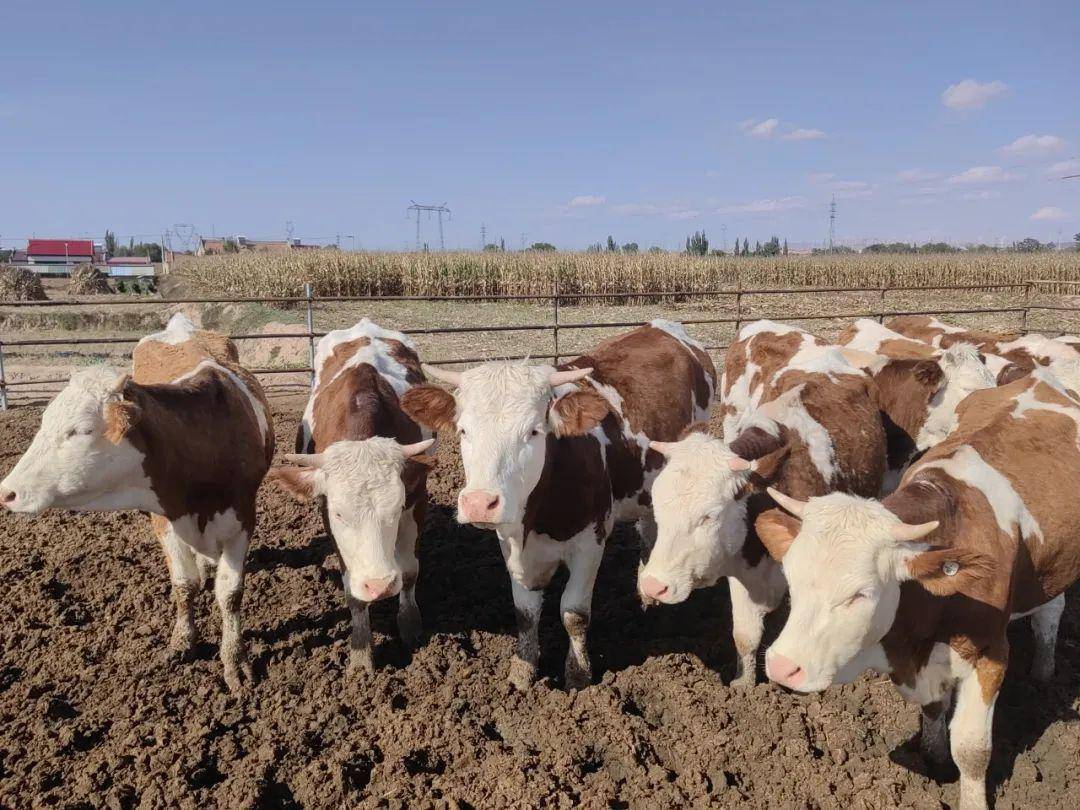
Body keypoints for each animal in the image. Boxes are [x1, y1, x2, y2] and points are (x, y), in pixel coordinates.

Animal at [0, 313, 274, 695]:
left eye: (81, 430)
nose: (7, 492)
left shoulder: (243, 520)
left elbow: (230, 593)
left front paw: (235, 661)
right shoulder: (166, 518)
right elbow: (184, 585)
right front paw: (182, 642)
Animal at [265, 319, 434, 673]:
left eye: (396, 509)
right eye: (340, 513)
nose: (379, 586)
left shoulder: (417, 499)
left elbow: (409, 569)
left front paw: (410, 625)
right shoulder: (326, 513)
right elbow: (352, 589)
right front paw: (360, 653)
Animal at [401, 319, 712, 686]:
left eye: (534, 431)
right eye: (463, 430)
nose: (479, 503)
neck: (538, 514)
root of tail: (661, 326)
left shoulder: (590, 543)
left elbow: (573, 613)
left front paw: (578, 675)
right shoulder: (511, 542)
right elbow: (525, 612)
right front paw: (522, 671)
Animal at [635, 343, 881, 686]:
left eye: (709, 516)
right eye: (658, 509)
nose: (653, 586)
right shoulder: (742, 575)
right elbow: (745, 636)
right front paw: (743, 685)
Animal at [756, 367, 1080, 810]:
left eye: (861, 593)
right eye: (792, 578)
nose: (781, 666)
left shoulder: (990, 652)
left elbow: (972, 749)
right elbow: (933, 709)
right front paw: (933, 755)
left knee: (1051, 610)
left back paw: (1044, 671)